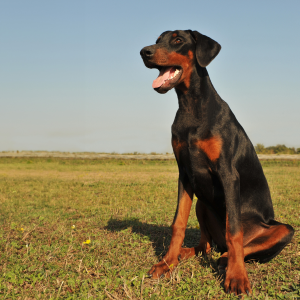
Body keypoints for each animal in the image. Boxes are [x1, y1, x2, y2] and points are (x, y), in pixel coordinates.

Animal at [141, 29, 296, 296]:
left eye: (178, 40)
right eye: (158, 40)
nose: (144, 52)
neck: (191, 106)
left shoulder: (228, 174)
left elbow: (234, 230)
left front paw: (237, 277)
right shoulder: (185, 174)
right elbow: (178, 224)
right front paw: (167, 263)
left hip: (283, 230)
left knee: (236, 247)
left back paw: (228, 261)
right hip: (202, 203)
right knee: (206, 247)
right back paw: (186, 254)